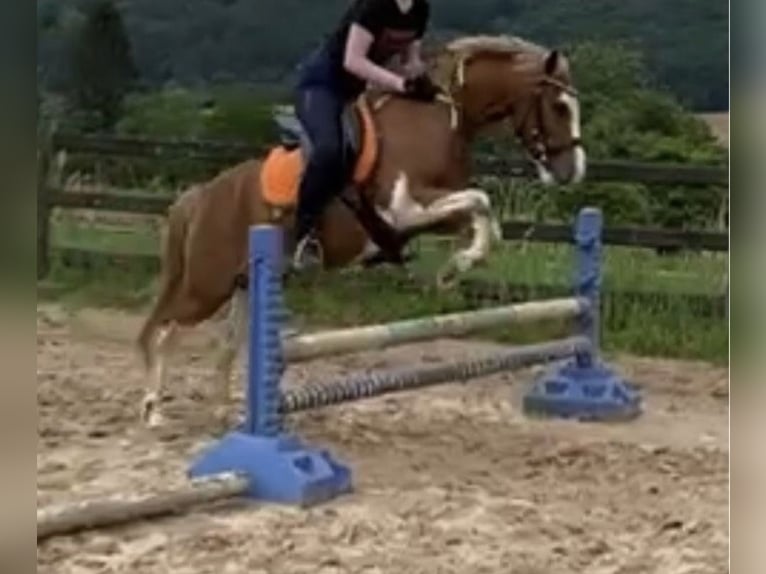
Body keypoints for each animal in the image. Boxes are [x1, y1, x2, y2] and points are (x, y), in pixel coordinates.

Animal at [136, 35, 586, 427]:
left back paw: (220, 414)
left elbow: (482, 215)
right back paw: (154, 410)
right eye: (559, 106)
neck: (440, 120)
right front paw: (454, 268)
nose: (573, 172)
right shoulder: (402, 207)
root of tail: (202, 196)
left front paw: (456, 266)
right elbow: (480, 200)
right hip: (207, 287)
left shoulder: (429, 211)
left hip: (244, 283)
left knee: (225, 345)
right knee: (169, 333)